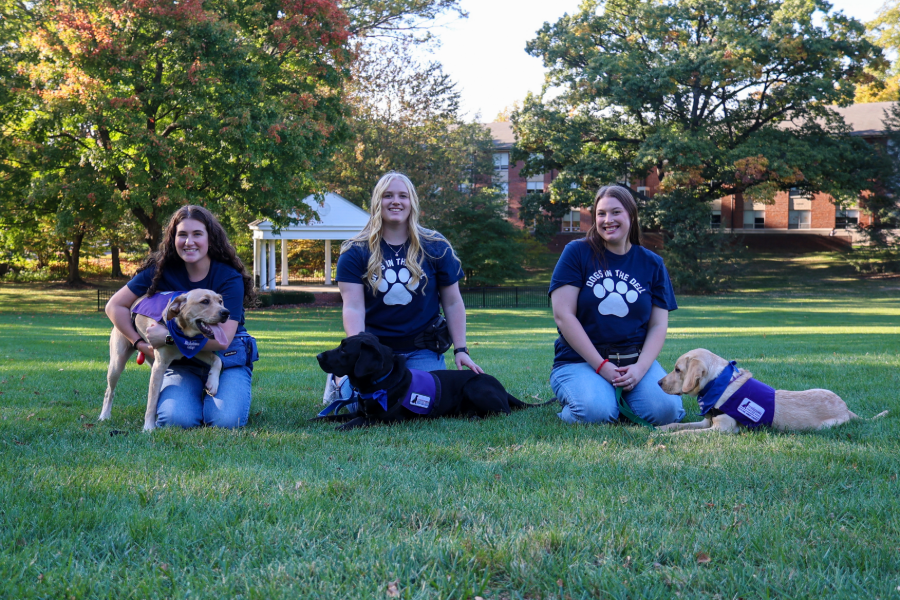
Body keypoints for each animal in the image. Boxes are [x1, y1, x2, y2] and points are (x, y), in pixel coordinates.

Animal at [100, 290, 230, 432]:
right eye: (205, 301)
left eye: (220, 301)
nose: (226, 312)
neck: (182, 333)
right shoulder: (160, 365)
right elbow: (151, 402)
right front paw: (148, 427)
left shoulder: (195, 350)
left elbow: (217, 360)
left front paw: (213, 383)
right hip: (117, 364)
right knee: (109, 392)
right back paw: (104, 415)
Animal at [316, 332, 540, 426]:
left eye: (344, 350)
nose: (318, 356)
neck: (381, 383)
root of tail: (504, 390)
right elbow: (329, 417)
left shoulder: (387, 419)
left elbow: (357, 421)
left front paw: (340, 428)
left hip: (474, 387)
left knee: (504, 412)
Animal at [652, 350, 884, 434]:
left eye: (677, 369)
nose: (658, 382)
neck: (719, 383)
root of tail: (847, 409)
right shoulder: (706, 422)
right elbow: (679, 425)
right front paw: (661, 429)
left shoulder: (723, 429)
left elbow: (685, 433)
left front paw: (669, 438)